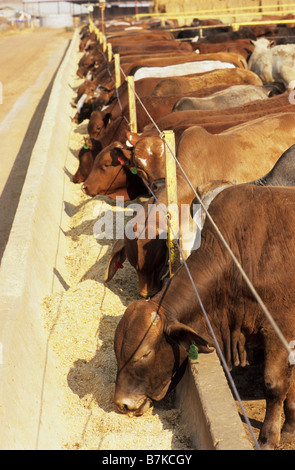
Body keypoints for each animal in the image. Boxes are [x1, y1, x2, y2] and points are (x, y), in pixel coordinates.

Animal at [114, 184, 295, 452]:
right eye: (117, 351)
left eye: (144, 354)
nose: (121, 403)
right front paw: (291, 427)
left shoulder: (279, 331)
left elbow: (274, 385)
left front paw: (268, 438)